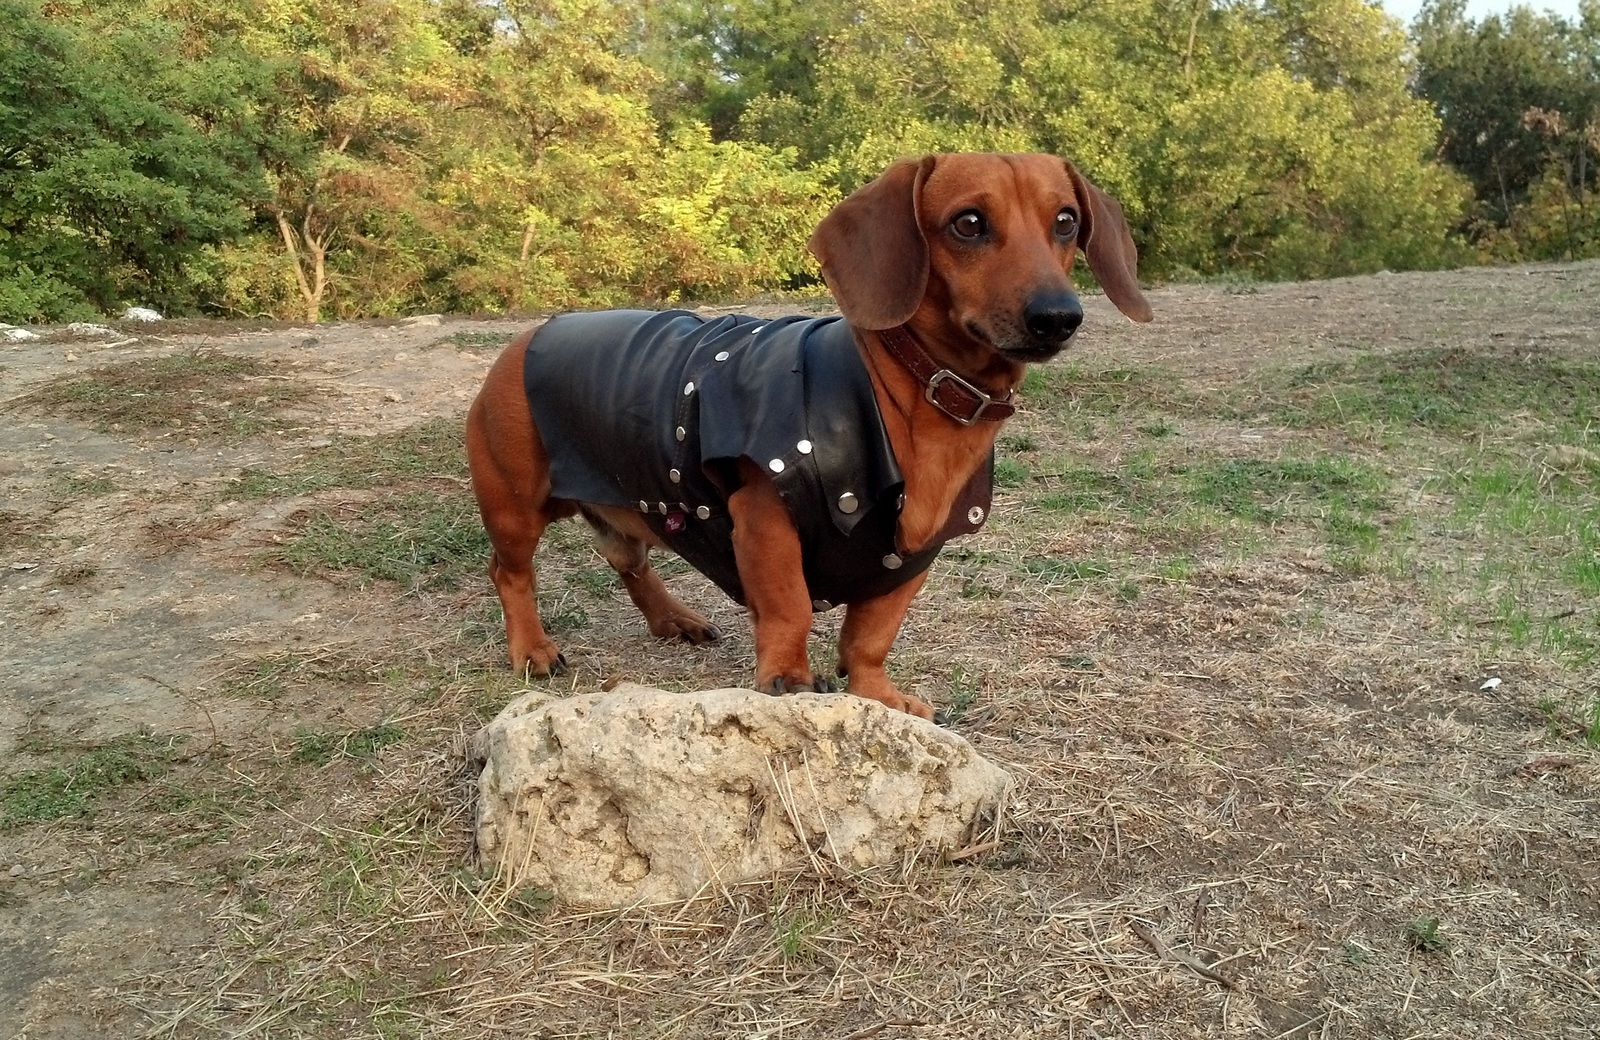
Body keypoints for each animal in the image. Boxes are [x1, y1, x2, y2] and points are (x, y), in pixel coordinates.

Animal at [464, 153, 1152, 716]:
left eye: (1066, 221)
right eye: (968, 223)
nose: (1059, 316)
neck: (902, 391)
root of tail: (529, 336)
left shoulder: (910, 557)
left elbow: (869, 636)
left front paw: (876, 693)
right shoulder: (764, 517)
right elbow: (790, 606)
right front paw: (788, 677)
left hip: (630, 504)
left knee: (629, 563)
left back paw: (674, 619)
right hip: (515, 509)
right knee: (509, 574)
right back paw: (533, 649)